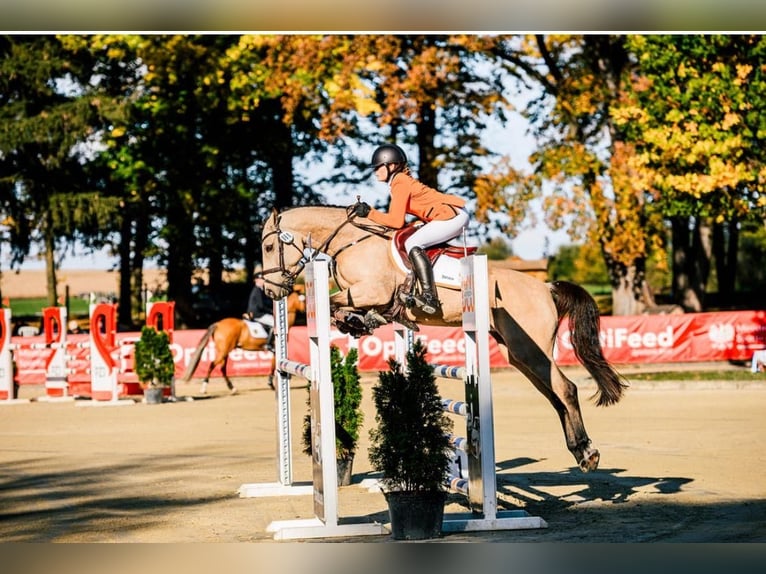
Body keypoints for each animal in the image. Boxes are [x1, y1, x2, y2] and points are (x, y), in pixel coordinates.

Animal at [260, 205, 632, 474]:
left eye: (268, 246)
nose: (269, 290)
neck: (350, 241)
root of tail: (545, 287)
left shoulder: (371, 291)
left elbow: (338, 303)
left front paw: (362, 320)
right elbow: (342, 307)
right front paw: (360, 322)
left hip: (531, 349)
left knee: (566, 389)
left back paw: (589, 453)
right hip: (517, 352)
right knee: (554, 395)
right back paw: (578, 450)